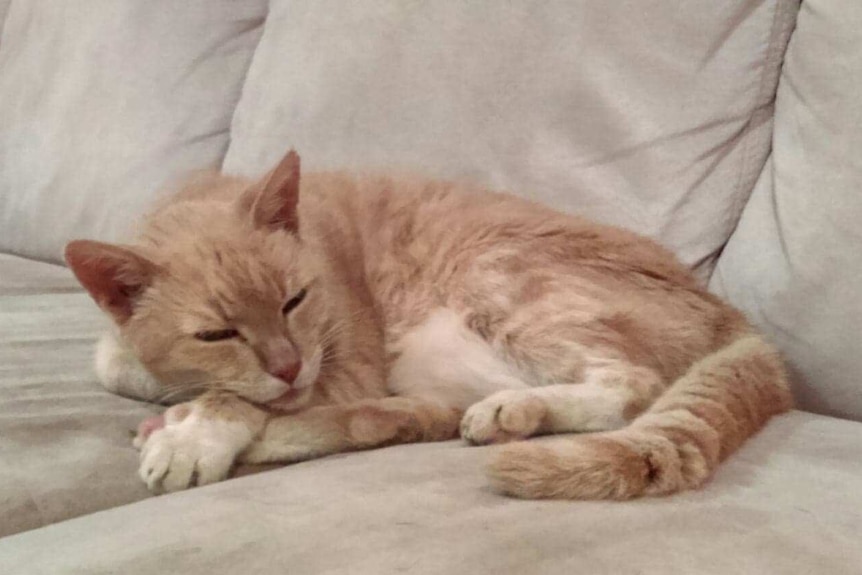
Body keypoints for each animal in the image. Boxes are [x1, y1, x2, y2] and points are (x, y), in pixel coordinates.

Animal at [66, 152, 796, 500]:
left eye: (295, 300)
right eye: (218, 334)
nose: (288, 365)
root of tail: (734, 315)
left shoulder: (345, 364)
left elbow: (242, 398)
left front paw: (199, 427)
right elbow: (120, 363)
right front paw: (179, 401)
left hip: (501, 278)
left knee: (632, 387)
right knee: (405, 418)